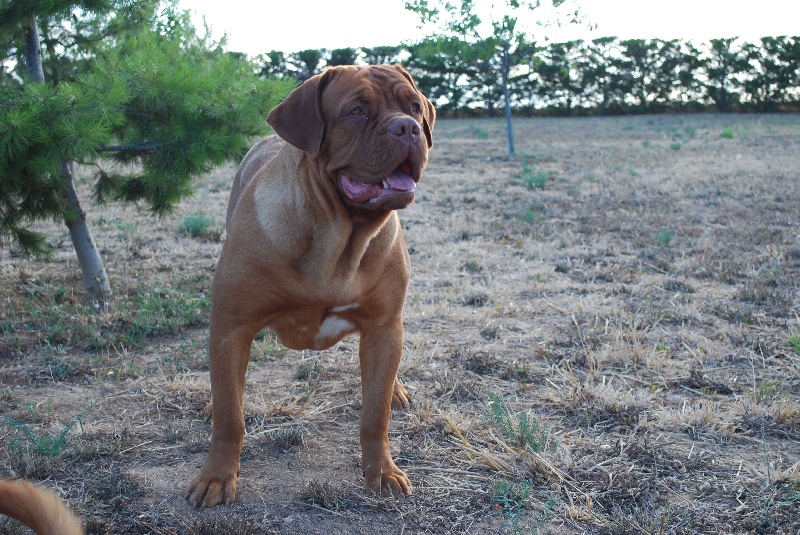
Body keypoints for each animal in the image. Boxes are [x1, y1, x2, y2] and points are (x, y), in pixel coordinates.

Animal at [184, 65, 434, 508]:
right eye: (355, 111)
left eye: (415, 107)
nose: (406, 128)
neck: (338, 240)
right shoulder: (232, 326)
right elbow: (231, 416)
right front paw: (216, 476)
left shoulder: (385, 327)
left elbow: (375, 415)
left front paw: (383, 472)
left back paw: (397, 391)